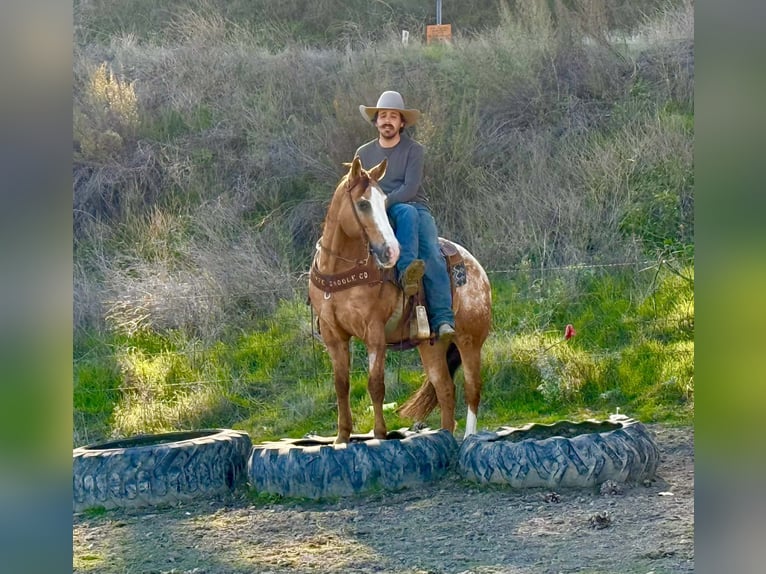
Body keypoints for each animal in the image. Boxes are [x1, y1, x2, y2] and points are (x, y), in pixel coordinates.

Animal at [308, 156, 492, 444]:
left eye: (384, 202)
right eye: (363, 204)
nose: (390, 251)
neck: (338, 270)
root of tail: (479, 271)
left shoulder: (374, 331)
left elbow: (375, 385)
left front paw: (380, 435)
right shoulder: (333, 335)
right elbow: (341, 385)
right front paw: (342, 438)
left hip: (469, 341)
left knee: (472, 389)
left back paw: (469, 438)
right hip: (431, 346)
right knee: (445, 390)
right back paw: (445, 437)